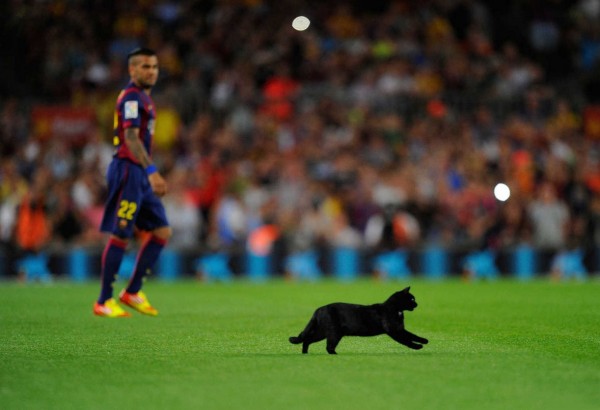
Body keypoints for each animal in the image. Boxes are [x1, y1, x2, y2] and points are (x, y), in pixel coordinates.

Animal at [290, 286, 426, 354]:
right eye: (412, 299)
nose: (417, 304)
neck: (396, 309)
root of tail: (319, 309)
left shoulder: (400, 328)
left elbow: (412, 335)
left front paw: (424, 340)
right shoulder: (394, 330)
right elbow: (406, 340)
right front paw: (417, 347)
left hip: (322, 332)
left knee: (307, 340)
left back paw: (305, 353)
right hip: (333, 333)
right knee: (328, 347)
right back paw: (335, 355)